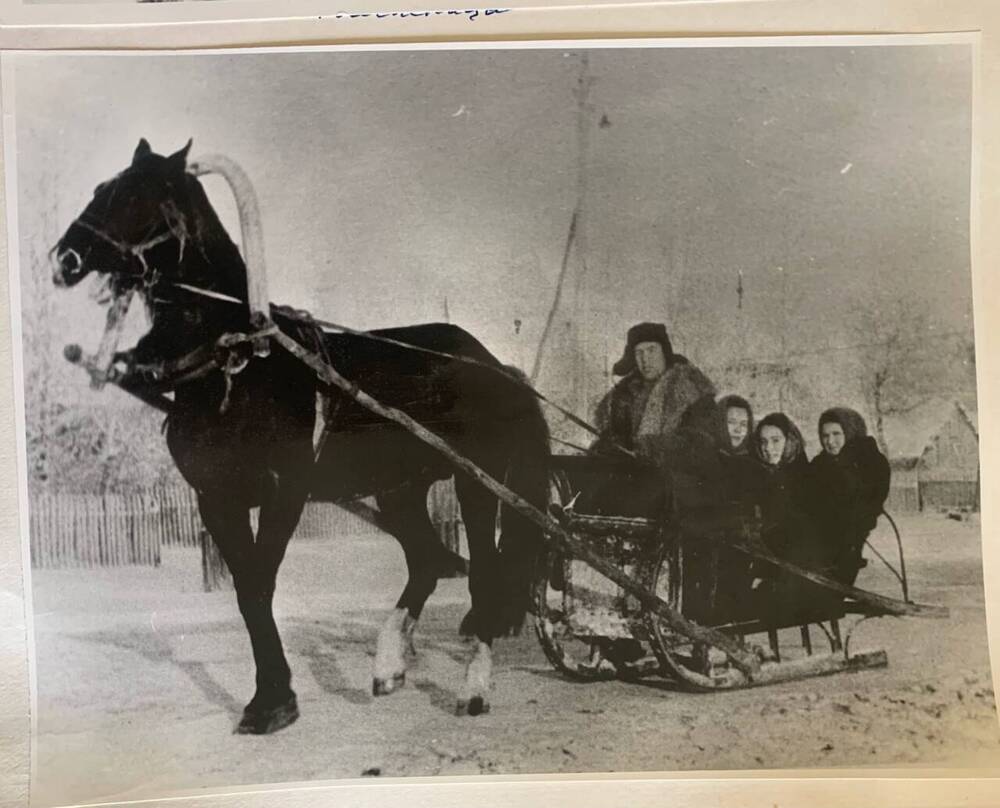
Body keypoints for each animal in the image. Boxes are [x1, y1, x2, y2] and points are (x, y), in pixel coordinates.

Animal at [50, 139, 552, 732]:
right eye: (101, 188)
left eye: (132, 193)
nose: (64, 258)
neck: (237, 359)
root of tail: (496, 365)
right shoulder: (215, 498)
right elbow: (247, 590)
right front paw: (271, 695)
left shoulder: (283, 491)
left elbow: (259, 585)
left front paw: (273, 701)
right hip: (400, 490)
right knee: (427, 561)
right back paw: (388, 665)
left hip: (478, 485)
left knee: (483, 577)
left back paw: (473, 688)